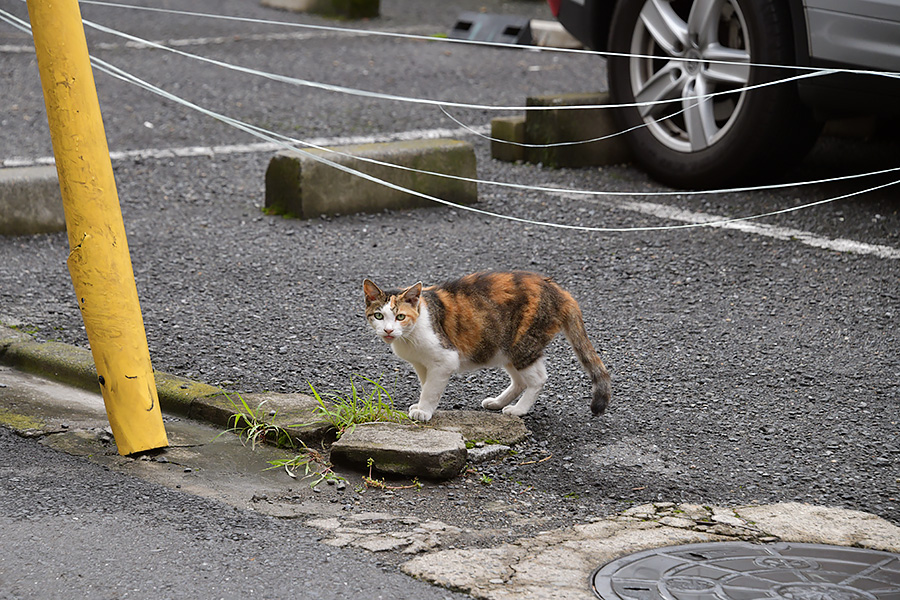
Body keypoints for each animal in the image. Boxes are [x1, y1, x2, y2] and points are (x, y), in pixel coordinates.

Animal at [360, 270, 612, 422]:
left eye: (400, 317)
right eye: (379, 316)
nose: (388, 330)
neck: (410, 336)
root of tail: (560, 291)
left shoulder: (444, 359)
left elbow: (431, 389)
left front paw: (424, 410)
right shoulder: (422, 364)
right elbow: (426, 385)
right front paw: (422, 406)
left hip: (522, 344)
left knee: (538, 379)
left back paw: (518, 409)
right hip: (503, 347)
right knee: (520, 381)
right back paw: (498, 402)